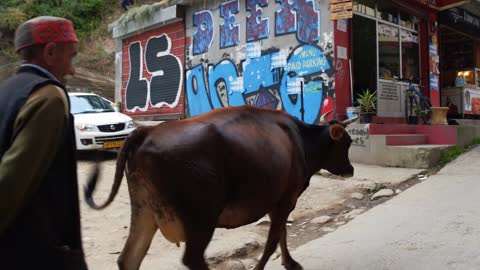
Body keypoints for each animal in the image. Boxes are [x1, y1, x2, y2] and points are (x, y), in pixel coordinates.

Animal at [85, 105, 356, 270]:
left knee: (129, 258)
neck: (301, 140)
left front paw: (290, 263)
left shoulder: (276, 201)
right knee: (192, 258)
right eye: (346, 143)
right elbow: (272, 240)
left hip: (144, 210)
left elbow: (281, 234)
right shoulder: (287, 198)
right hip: (201, 217)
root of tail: (147, 131)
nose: (351, 169)